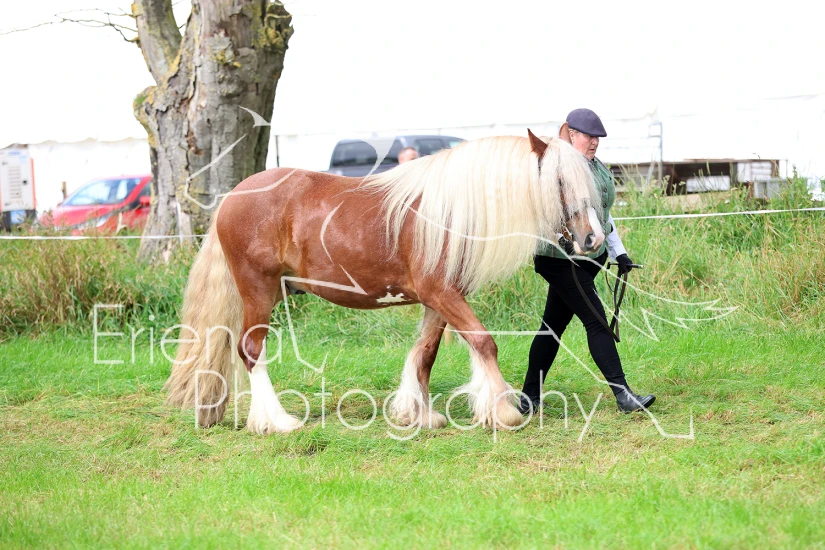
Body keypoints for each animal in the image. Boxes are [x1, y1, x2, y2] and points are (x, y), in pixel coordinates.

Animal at [164, 130, 605, 434]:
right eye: (560, 181)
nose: (592, 239)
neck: (447, 212)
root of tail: (232, 197)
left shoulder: (440, 299)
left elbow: (425, 353)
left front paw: (420, 415)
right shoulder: (441, 293)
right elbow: (484, 342)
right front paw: (504, 411)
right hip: (257, 290)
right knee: (251, 349)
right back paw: (277, 421)